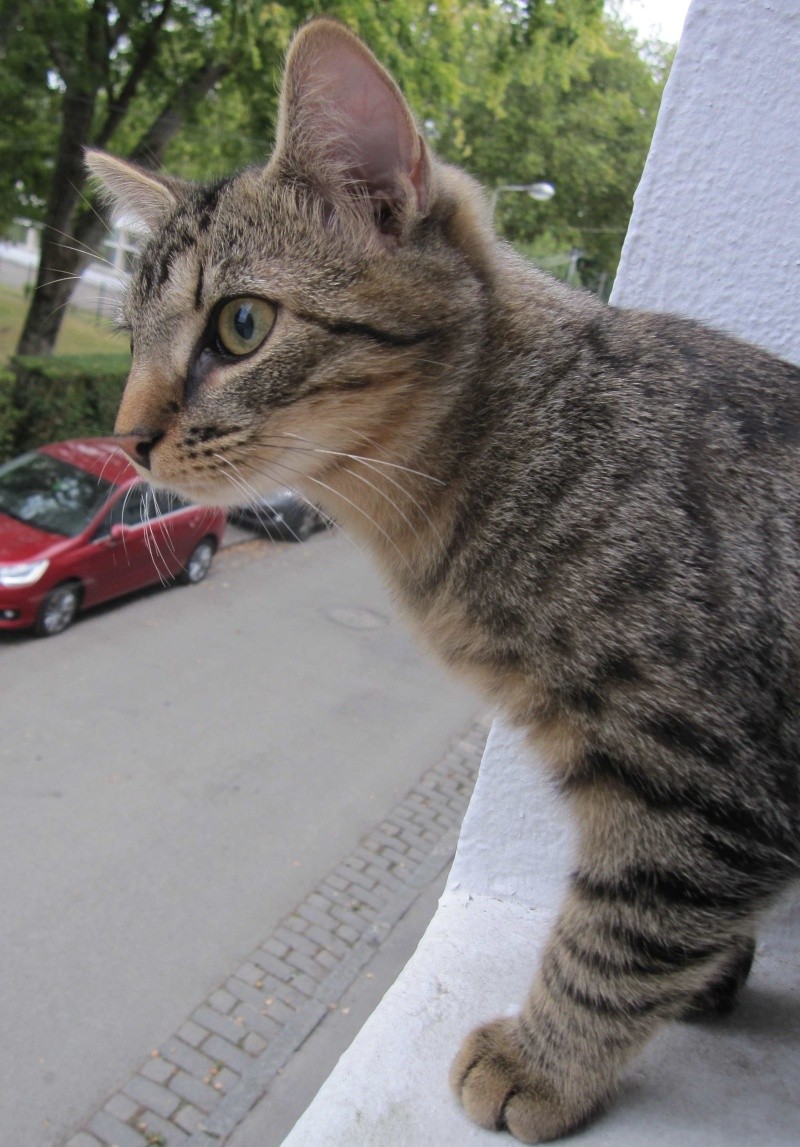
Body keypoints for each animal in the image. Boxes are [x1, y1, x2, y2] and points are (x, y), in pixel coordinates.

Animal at [84, 15, 794, 1137]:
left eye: (240, 325)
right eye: (132, 338)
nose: (127, 437)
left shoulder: (705, 783)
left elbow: (616, 940)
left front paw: (544, 1060)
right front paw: (710, 981)